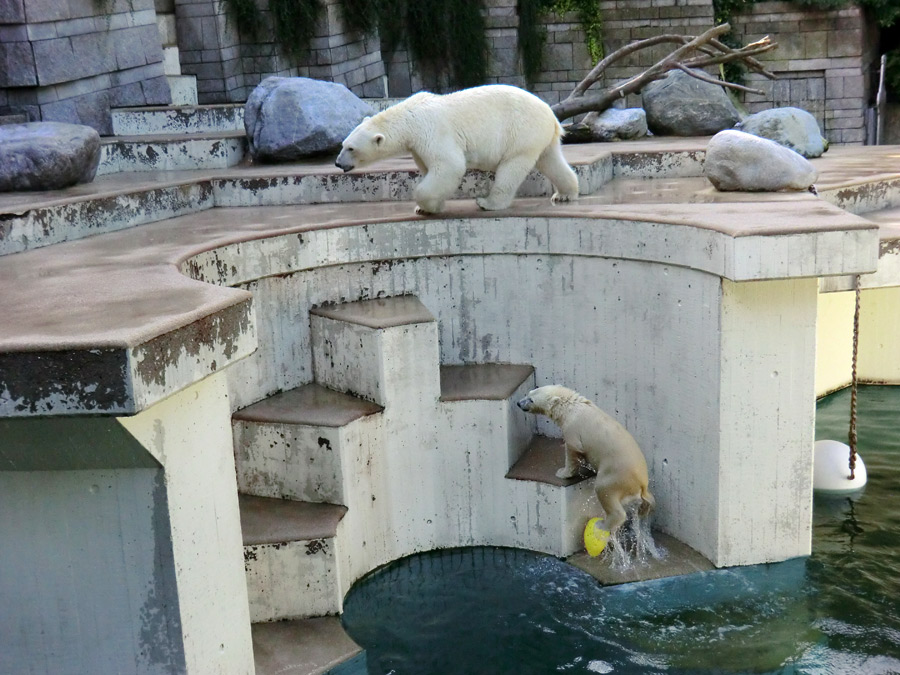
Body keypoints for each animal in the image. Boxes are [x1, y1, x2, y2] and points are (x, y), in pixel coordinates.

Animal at [334, 83, 580, 214]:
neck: (409, 118)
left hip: (520, 132)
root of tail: (551, 115)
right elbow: (430, 169)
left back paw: (487, 203)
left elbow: (449, 166)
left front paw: (427, 206)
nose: (337, 163)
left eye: (351, 149)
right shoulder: (417, 146)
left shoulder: (432, 131)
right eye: (343, 144)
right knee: (551, 160)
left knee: (512, 168)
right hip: (539, 136)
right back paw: (564, 194)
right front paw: (429, 206)